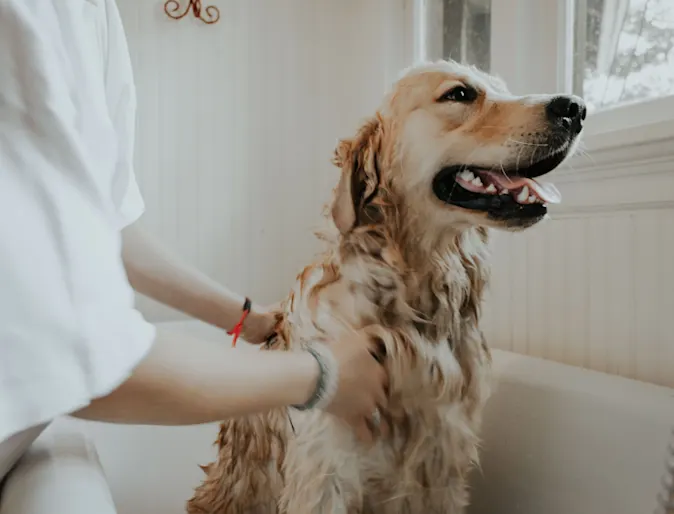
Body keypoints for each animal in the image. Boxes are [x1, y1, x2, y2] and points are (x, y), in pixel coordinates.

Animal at [186, 58, 584, 510]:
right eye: (460, 94)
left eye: (503, 87)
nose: (576, 108)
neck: (415, 300)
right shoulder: (326, 472)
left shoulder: (443, 464)